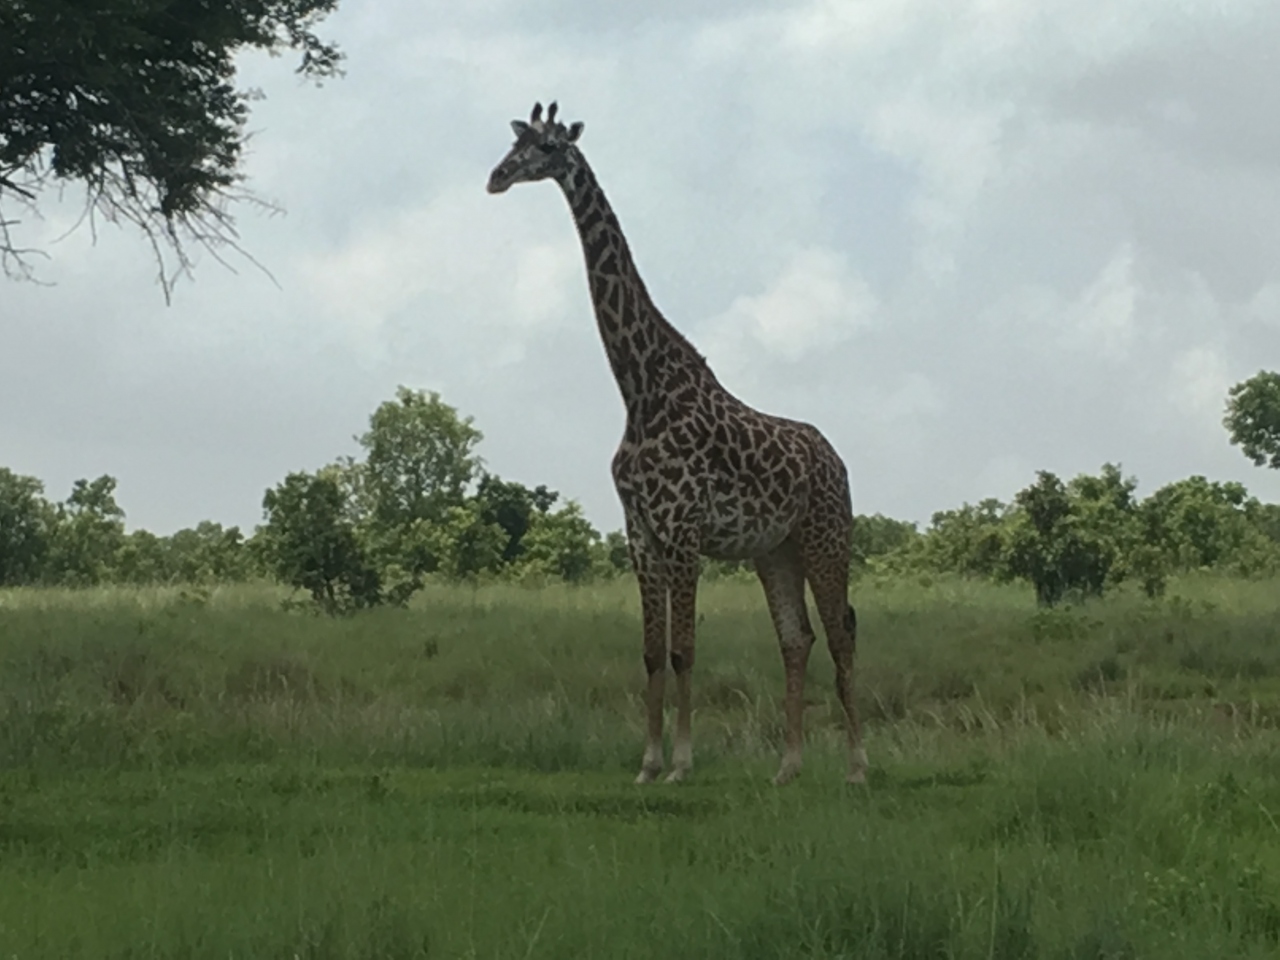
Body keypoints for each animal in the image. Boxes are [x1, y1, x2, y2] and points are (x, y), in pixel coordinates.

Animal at [488, 101, 870, 783]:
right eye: (517, 143)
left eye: (549, 147)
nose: (496, 177)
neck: (640, 391)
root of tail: (837, 458)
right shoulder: (641, 531)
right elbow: (650, 652)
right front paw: (646, 763)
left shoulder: (684, 527)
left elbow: (685, 649)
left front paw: (683, 763)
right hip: (776, 549)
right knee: (796, 638)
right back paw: (788, 768)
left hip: (827, 535)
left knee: (841, 632)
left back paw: (857, 767)